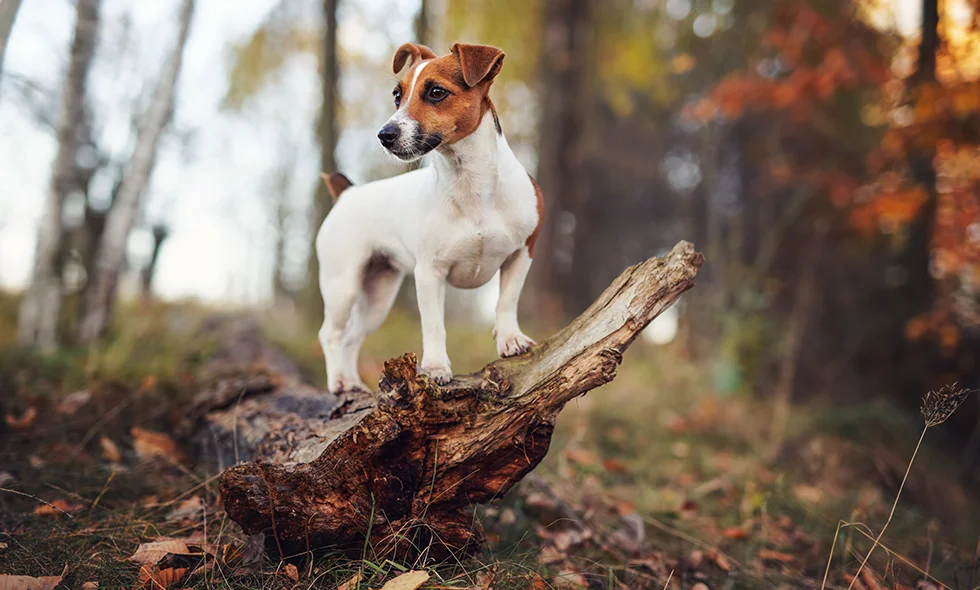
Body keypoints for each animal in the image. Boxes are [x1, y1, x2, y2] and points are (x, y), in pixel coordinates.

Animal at [314, 42, 544, 398]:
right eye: (397, 95)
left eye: (436, 92)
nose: (385, 134)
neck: (469, 183)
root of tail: (348, 193)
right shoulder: (429, 273)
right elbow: (434, 325)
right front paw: (435, 367)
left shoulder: (522, 253)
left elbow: (508, 300)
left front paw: (510, 338)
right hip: (343, 285)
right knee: (331, 334)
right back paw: (340, 381)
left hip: (378, 295)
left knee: (352, 337)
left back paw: (352, 382)